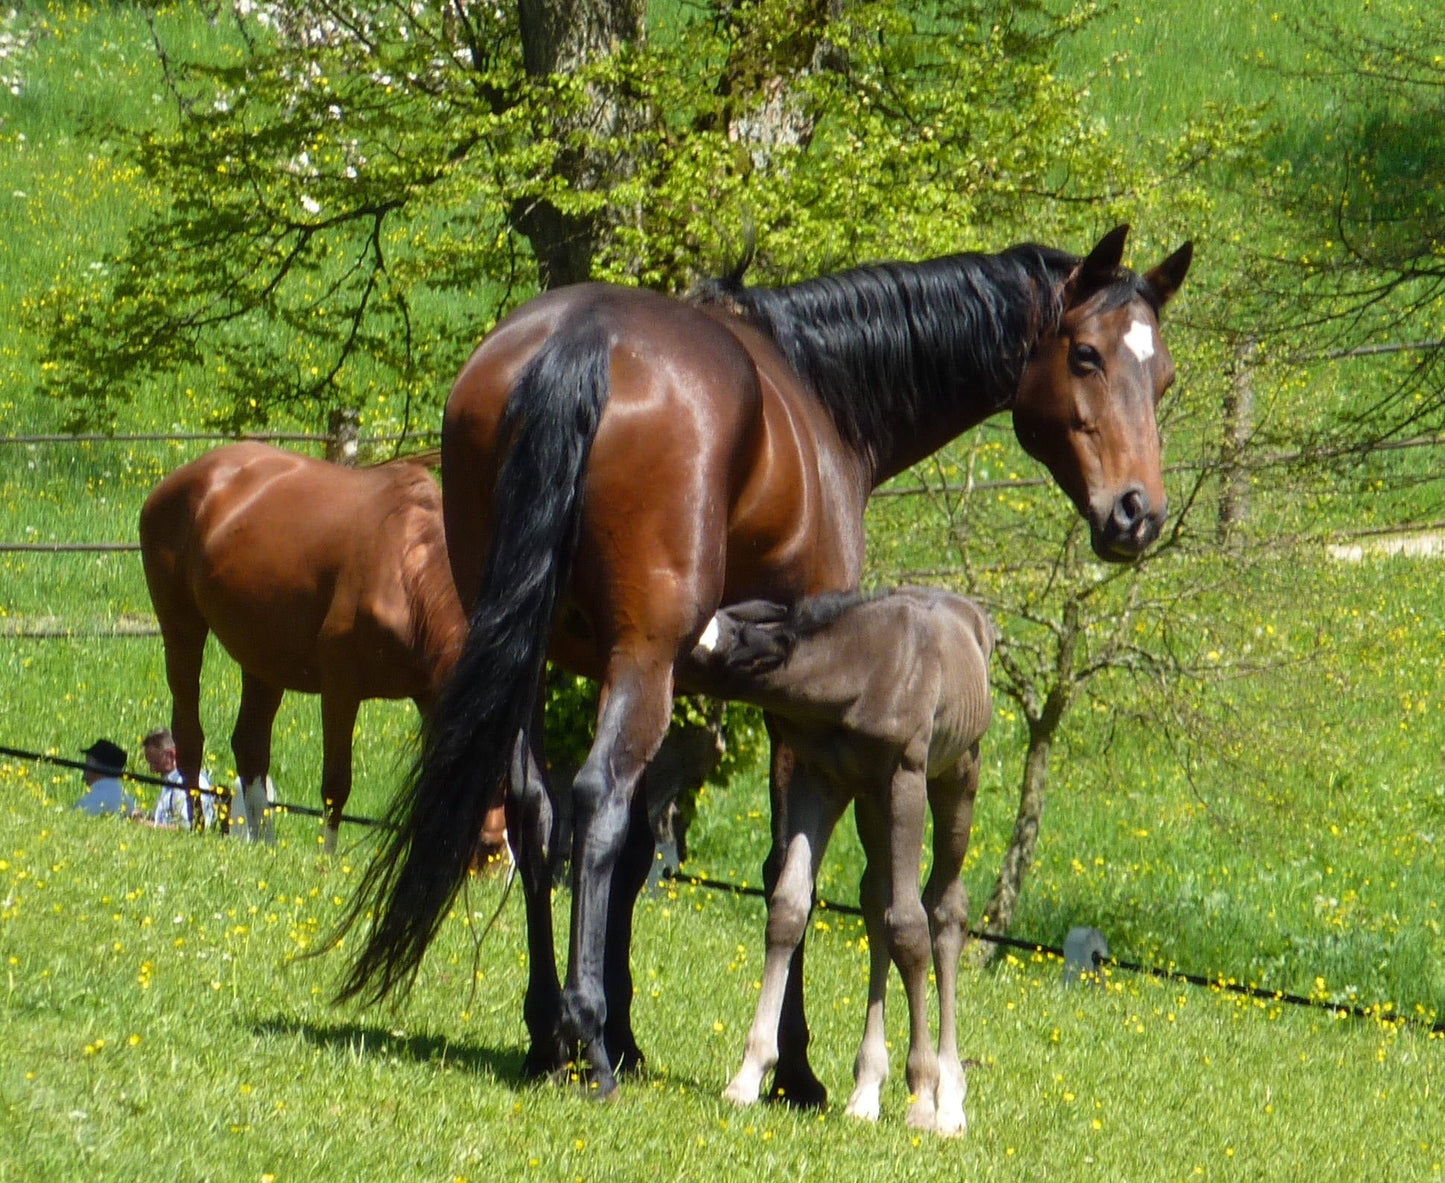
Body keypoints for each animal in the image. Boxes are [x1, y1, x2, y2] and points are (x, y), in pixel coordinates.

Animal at [136, 439, 508, 855]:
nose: (492, 847)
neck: (403, 568)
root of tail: (183, 478)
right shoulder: (340, 690)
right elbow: (336, 783)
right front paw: (327, 857)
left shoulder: (429, 695)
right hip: (181, 630)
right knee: (189, 736)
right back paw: (199, 826)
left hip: (263, 659)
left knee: (250, 748)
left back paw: (263, 841)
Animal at [684, 592, 994, 1138]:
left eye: (699, 654)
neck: (861, 672)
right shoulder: (821, 778)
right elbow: (789, 908)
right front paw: (748, 1075)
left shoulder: (904, 778)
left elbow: (910, 927)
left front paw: (921, 1098)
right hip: (870, 802)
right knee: (876, 902)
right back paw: (867, 1088)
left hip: (958, 772)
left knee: (944, 908)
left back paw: (949, 1100)